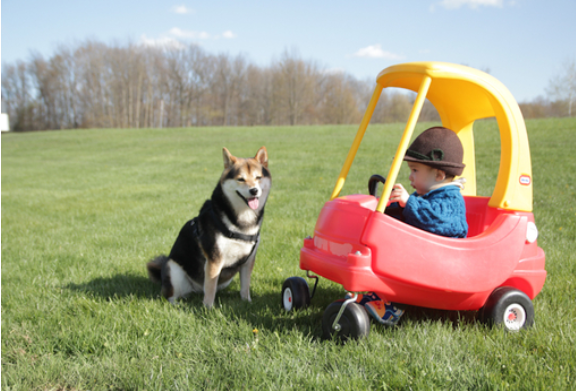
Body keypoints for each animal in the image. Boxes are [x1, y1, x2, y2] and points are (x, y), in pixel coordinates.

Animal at [148, 145, 272, 308]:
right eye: (241, 179)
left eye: (258, 177)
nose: (254, 190)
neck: (242, 222)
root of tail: (196, 290)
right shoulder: (214, 259)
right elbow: (211, 287)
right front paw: (208, 308)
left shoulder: (248, 260)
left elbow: (245, 286)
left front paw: (247, 302)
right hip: (173, 269)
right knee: (170, 295)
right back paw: (178, 303)